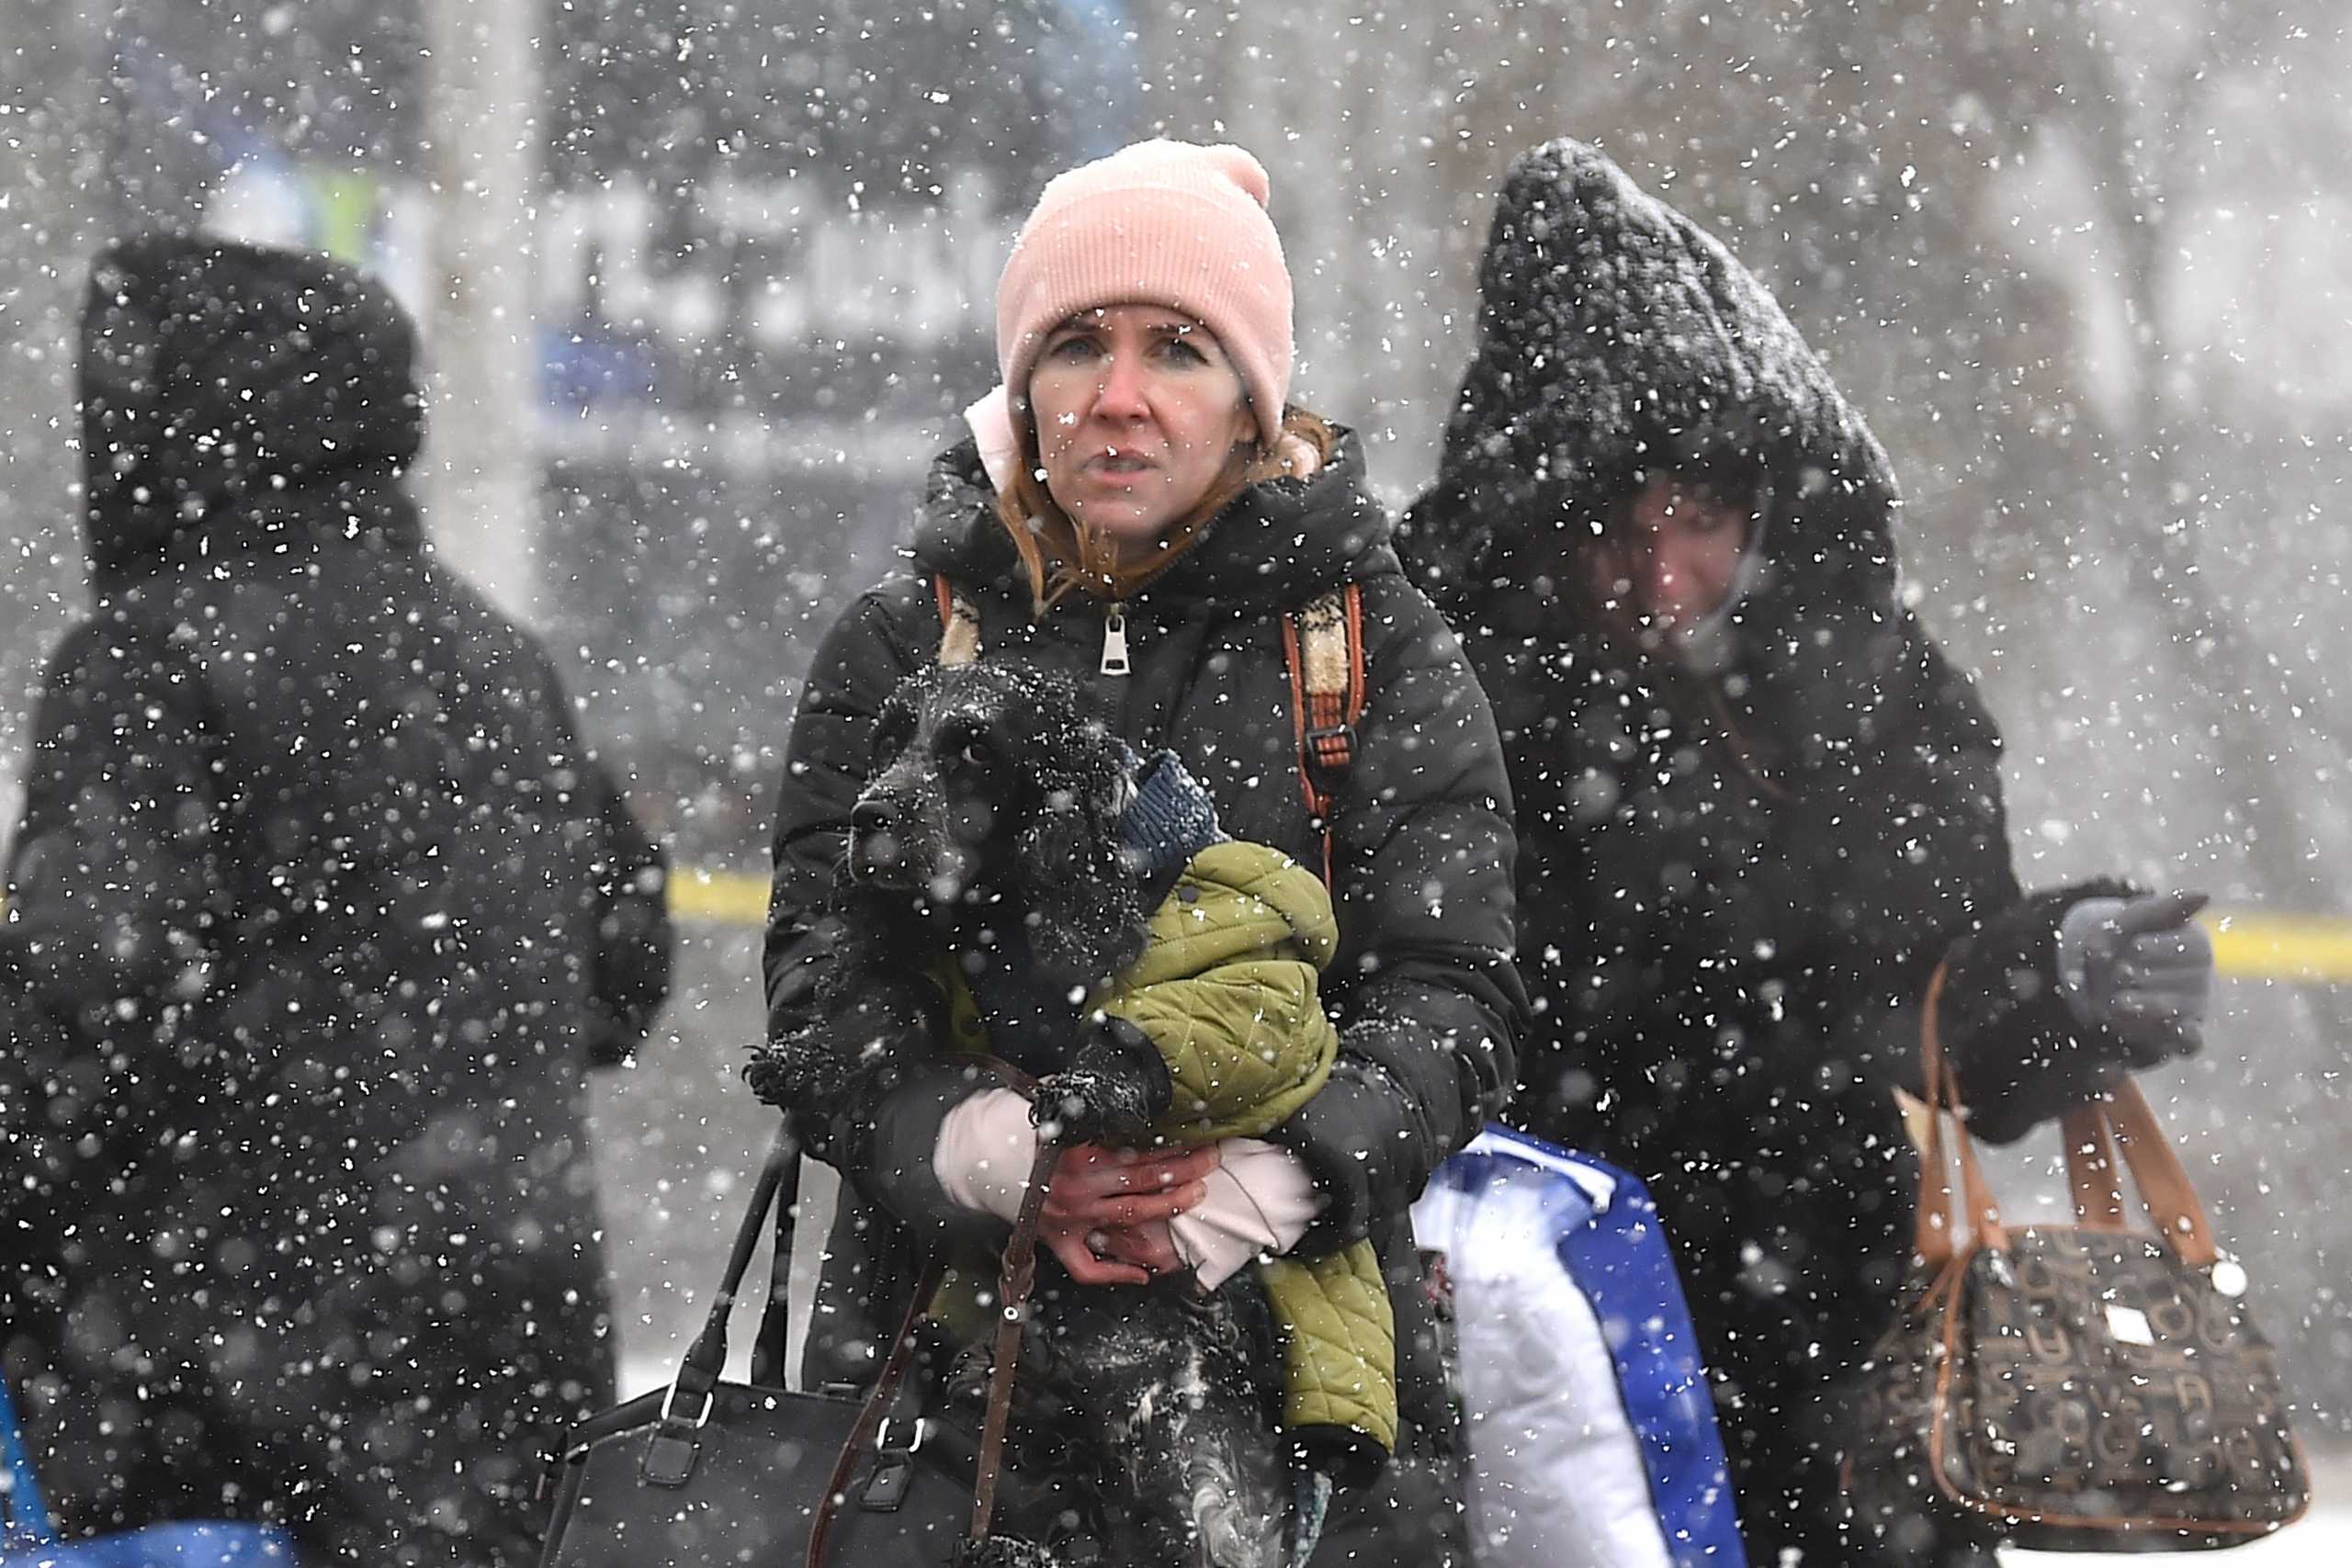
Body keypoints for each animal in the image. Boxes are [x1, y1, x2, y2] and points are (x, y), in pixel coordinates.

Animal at [752, 662, 1298, 1568]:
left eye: (974, 747)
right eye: (888, 739)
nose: (868, 816)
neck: (999, 920)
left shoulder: (1243, 976)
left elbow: (1201, 1023)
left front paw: (1084, 1090)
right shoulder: (918, 972)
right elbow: (883, 1011)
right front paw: (807, 1057)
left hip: (1182, 1441)